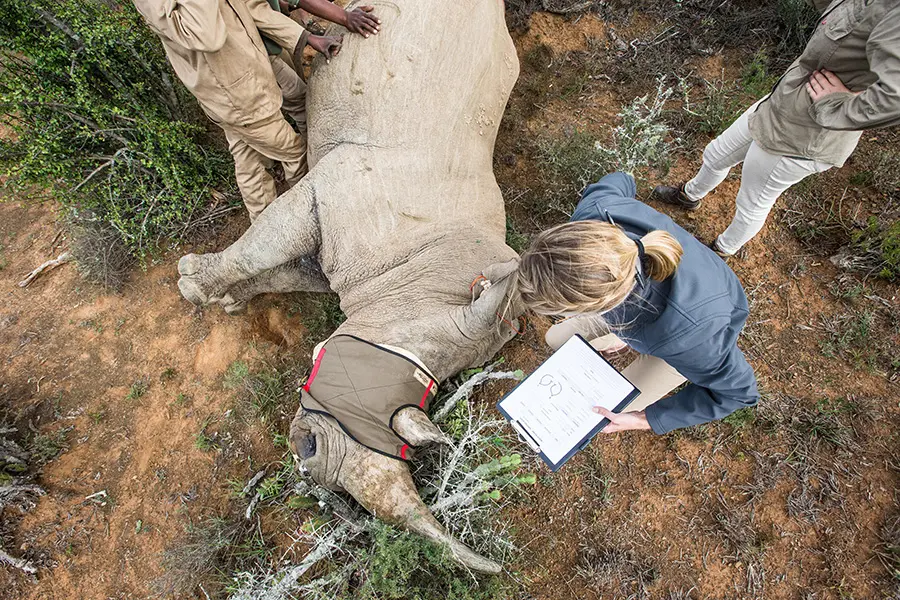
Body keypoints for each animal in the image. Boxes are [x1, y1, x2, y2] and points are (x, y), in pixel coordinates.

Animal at [177, 0, 524, 572]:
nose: (311, 455)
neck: (412, 285)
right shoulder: (336, 189)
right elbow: (263, 244)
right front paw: (194, 285)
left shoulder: (346, 257)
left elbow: (284, 267)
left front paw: (224, 297)